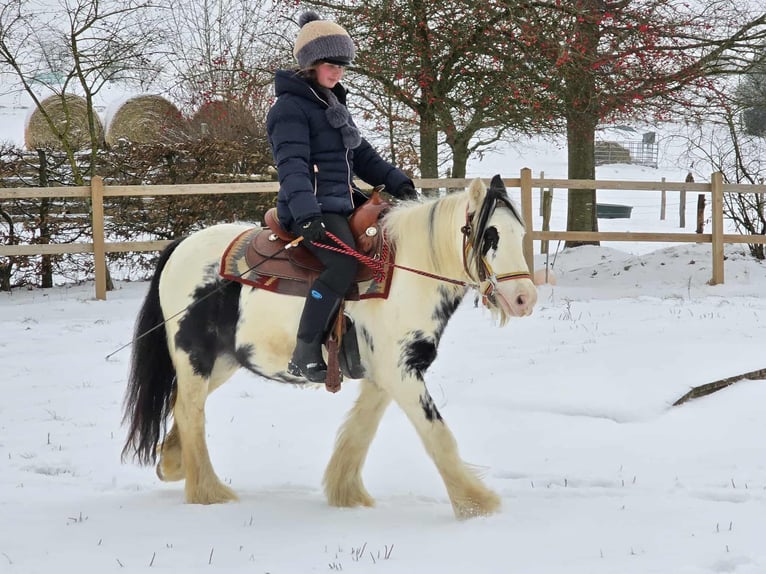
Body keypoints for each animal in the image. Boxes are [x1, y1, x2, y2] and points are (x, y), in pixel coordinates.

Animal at [121, 175, 537, 519]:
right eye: (490, 235)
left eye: (520, 233)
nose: (524, 298)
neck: (405, 275)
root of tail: (181, 247)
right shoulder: (401, 374)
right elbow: (438, 436)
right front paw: (476, 504)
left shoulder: (384, 376)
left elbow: (359, 431)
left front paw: (346, 492)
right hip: (195, 357)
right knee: (190, 411)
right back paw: (209, 491)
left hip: (222, 361)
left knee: (183, 404)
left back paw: (174, 464)